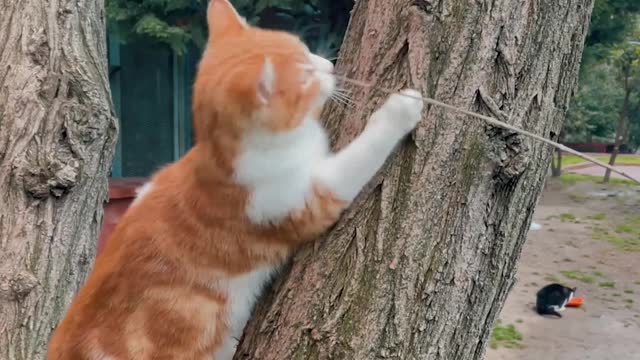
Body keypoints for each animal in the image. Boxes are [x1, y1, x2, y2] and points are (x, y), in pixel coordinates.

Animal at [46, 0, 424, 360]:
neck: (222, 157)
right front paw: (399, 110)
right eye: (305, 75)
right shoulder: (304, 199)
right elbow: (360, 155)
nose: (330, 67)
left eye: (306, 50)